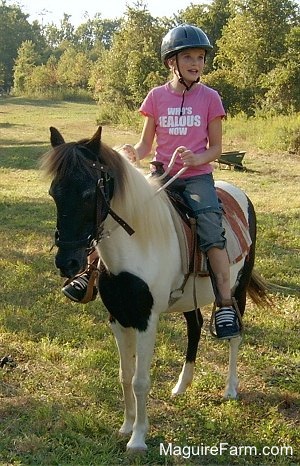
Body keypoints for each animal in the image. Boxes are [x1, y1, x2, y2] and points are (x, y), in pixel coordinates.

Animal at [42, 126, 270, 452]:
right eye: (53, 193)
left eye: (87, 194)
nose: (67, 262)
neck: (138, 245)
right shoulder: (118, 318)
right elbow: (125, 375)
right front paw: (126, 427)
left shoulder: (146, 320)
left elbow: (140, 381)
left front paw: (138, 439)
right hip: (190, 298)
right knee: (195, 326)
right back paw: (181, 385)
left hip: (236, 290)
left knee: (235, 335)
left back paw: (230, 388)